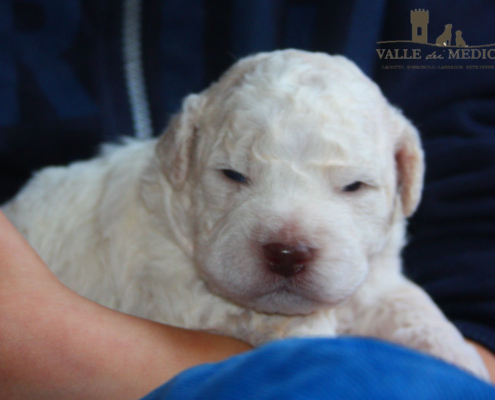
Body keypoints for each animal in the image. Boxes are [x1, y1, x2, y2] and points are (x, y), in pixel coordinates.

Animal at [1, 50, 490, 378]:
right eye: (232, 175)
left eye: (354, 187)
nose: (288, 253)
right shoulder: (170, 289)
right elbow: (268, 318)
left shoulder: (376, 279)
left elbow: (415, 307)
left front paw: (463, 361)